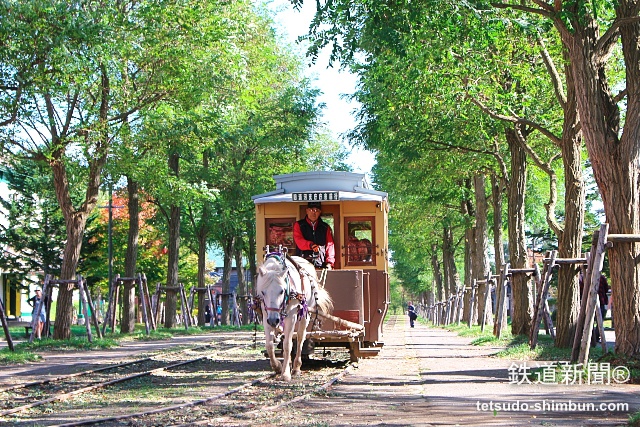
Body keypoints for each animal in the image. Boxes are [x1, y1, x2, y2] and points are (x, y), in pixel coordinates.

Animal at [256, 254, 336, 382]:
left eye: (282, 291)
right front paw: (277, 367)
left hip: (305, 314)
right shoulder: (265, 315)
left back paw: (296, 368)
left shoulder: (291, 316)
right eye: (263, 292)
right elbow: (269, 345)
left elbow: (288, 345)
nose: (273, 320)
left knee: (300, 338)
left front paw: (285, 374)